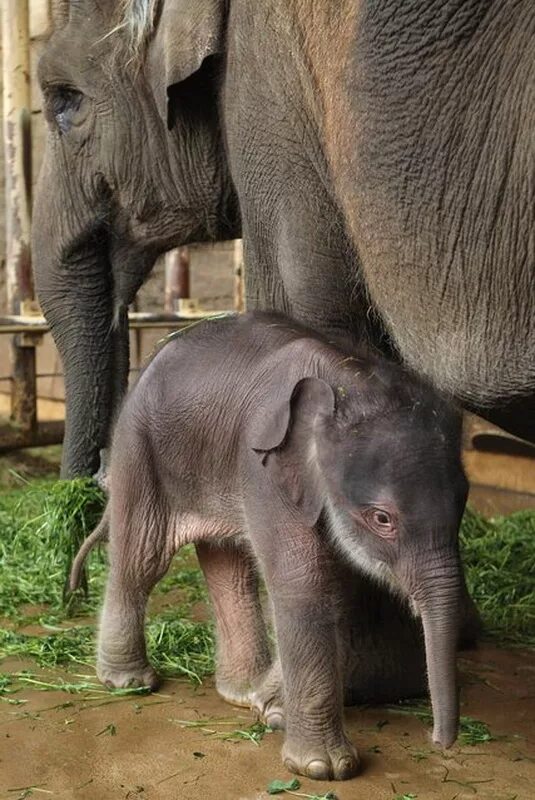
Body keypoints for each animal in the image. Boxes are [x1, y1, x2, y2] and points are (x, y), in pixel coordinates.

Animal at [72, 310, 468, 780]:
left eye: (464, 504)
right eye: (382, 519)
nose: (439, 741)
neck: (350, 380)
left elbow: (338, 588)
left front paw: (271, 710)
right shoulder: (262, 465)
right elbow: (305, 582)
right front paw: (323, 768)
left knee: (225, 562)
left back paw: (241, 693)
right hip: (138, 447)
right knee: (142, 559)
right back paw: (130, 684)